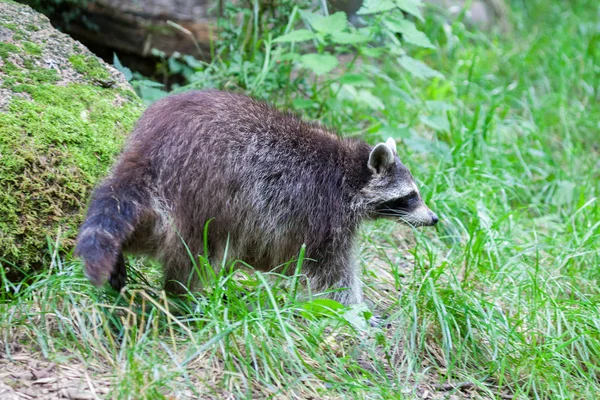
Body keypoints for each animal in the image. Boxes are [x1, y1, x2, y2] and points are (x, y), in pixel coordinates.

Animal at [77, 89, 438, 304]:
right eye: (410, 196)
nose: (434, 218)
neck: (351, 171)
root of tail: (150, 149)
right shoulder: (323, 212)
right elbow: (331, 271)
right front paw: (355, 312)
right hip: (205, 193)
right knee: (194, 255)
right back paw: (183, 296)